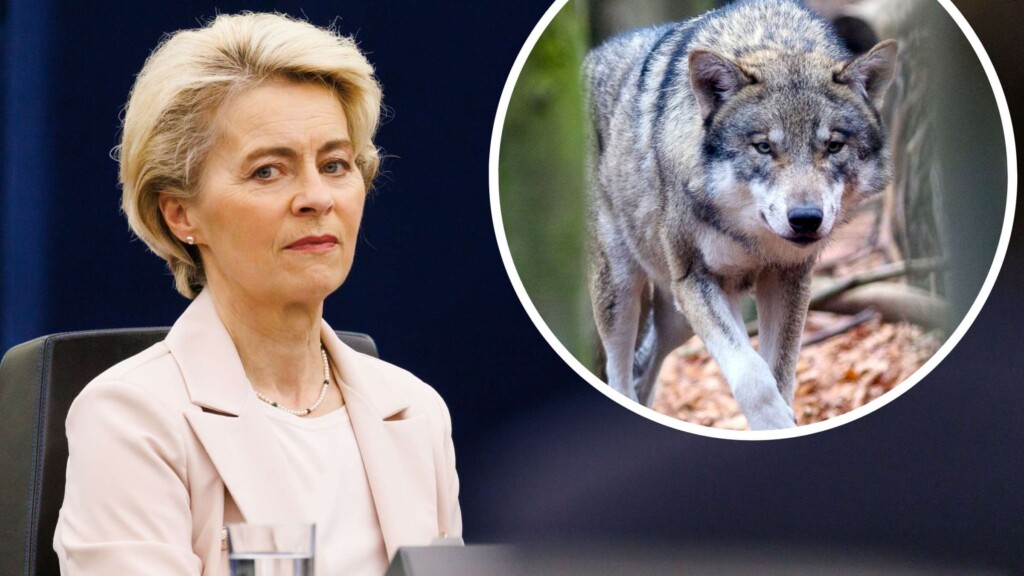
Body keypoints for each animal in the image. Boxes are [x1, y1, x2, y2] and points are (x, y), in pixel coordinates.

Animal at [584, 0, 897, 430]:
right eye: (764, 147)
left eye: (833, 146)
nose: (806, 218)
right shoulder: (695, 280)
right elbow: (753, 377)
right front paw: (777, 424)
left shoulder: (788, 278)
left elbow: (778, 374)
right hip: (623, 289)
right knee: (619, 373)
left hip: (677, 319)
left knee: (644, 366)